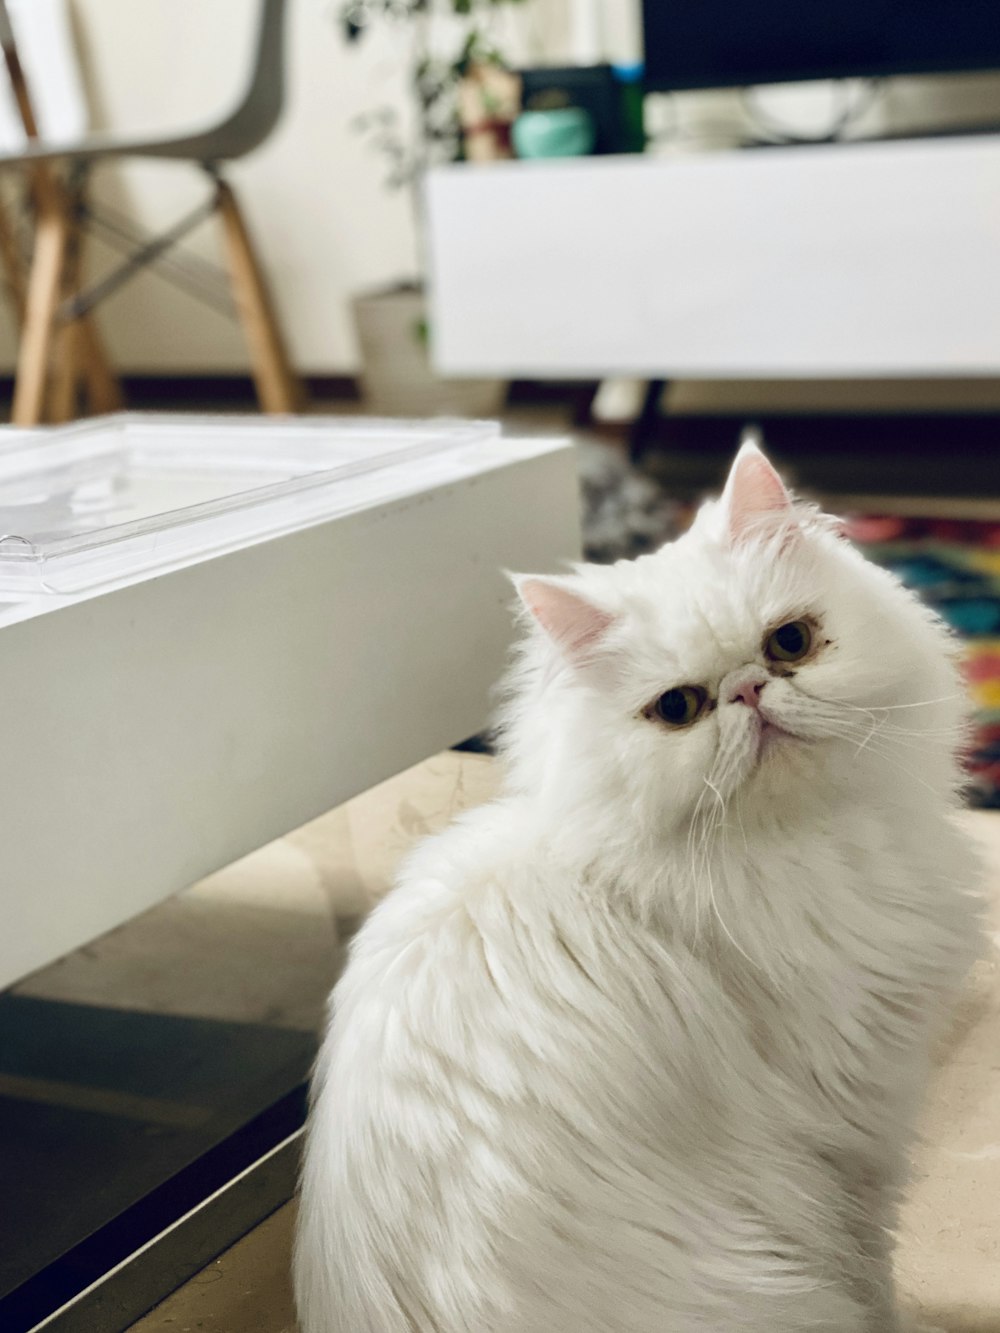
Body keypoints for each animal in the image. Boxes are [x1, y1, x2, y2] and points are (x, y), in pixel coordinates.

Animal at [293, 445, 981, 1333]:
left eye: (789, 642)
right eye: (679, 708)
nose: (750, 691)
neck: (796, 844)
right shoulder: (855, 1123)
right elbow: (873, 1271)